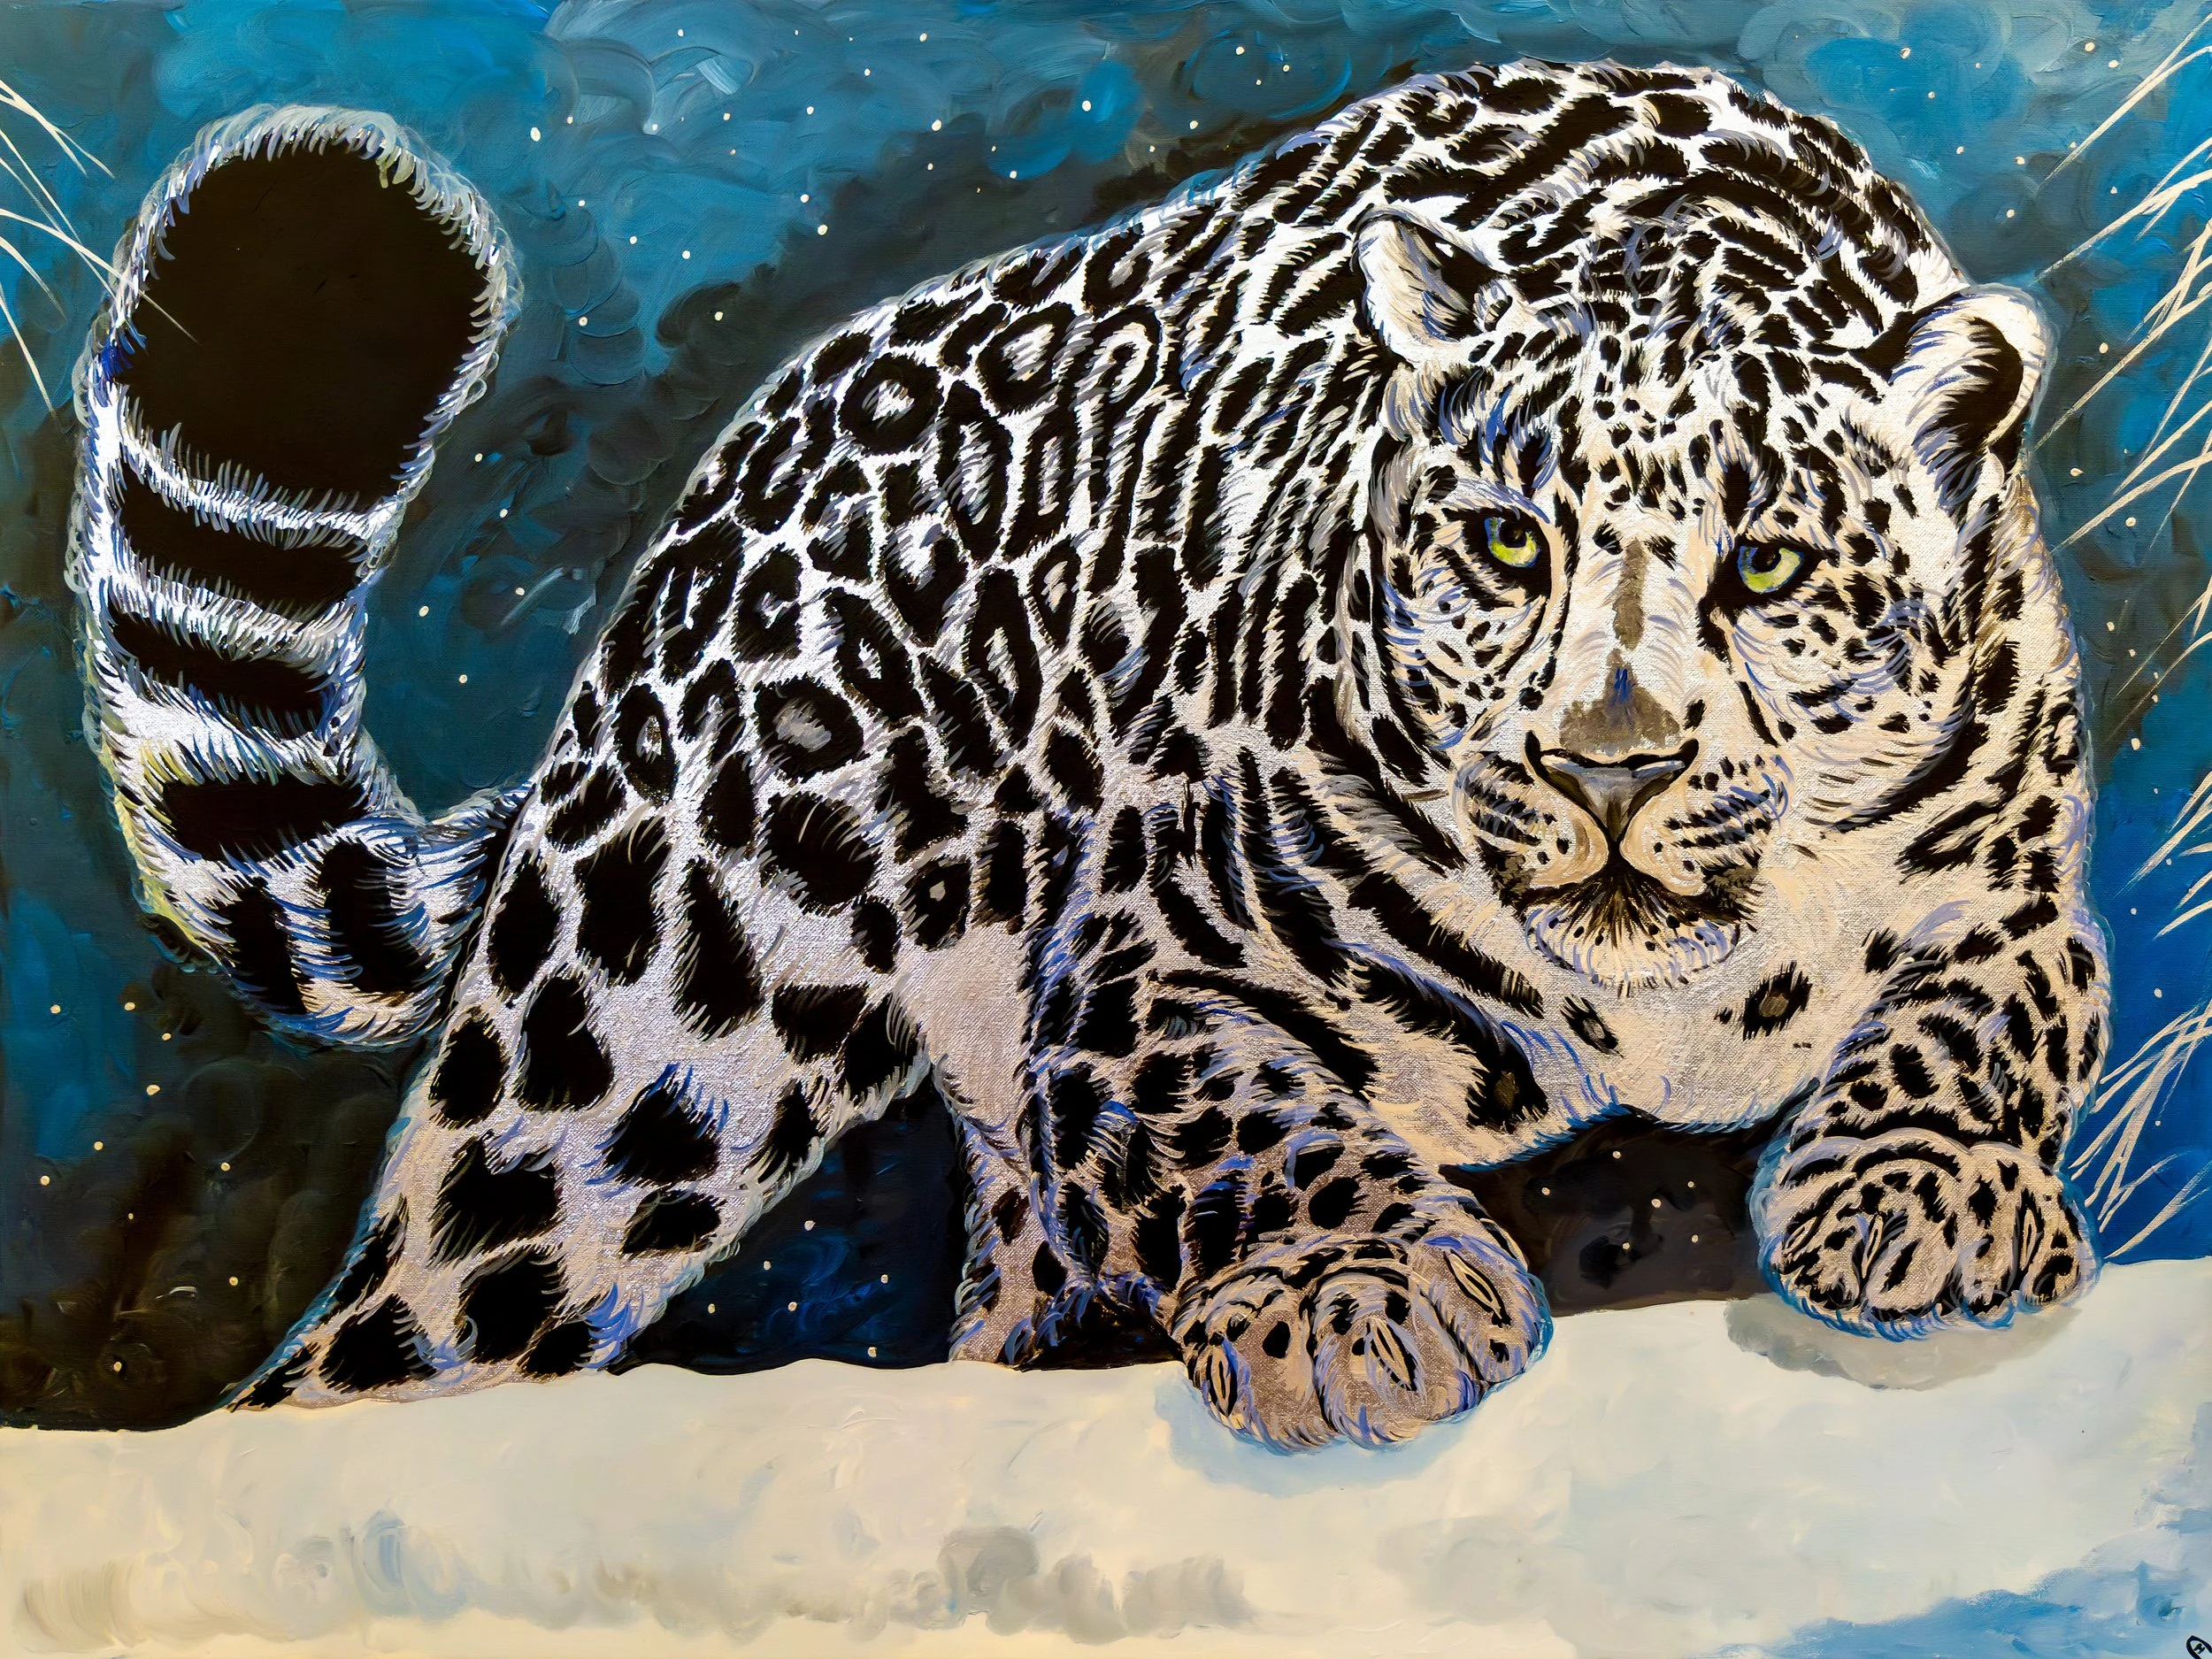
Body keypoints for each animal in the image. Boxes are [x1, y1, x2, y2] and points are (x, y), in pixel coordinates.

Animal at [67, 59, 2106, 1449]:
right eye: (1505, 543)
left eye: (1763, 564)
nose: (1610, 764)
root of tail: (714, 505)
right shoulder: (1147, 974)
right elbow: (1264, 1120)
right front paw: (1364, 1298)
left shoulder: (2021, 889)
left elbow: (1982, 1016)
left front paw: (1914, 1204)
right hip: (621, 1077)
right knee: (383, 1345)